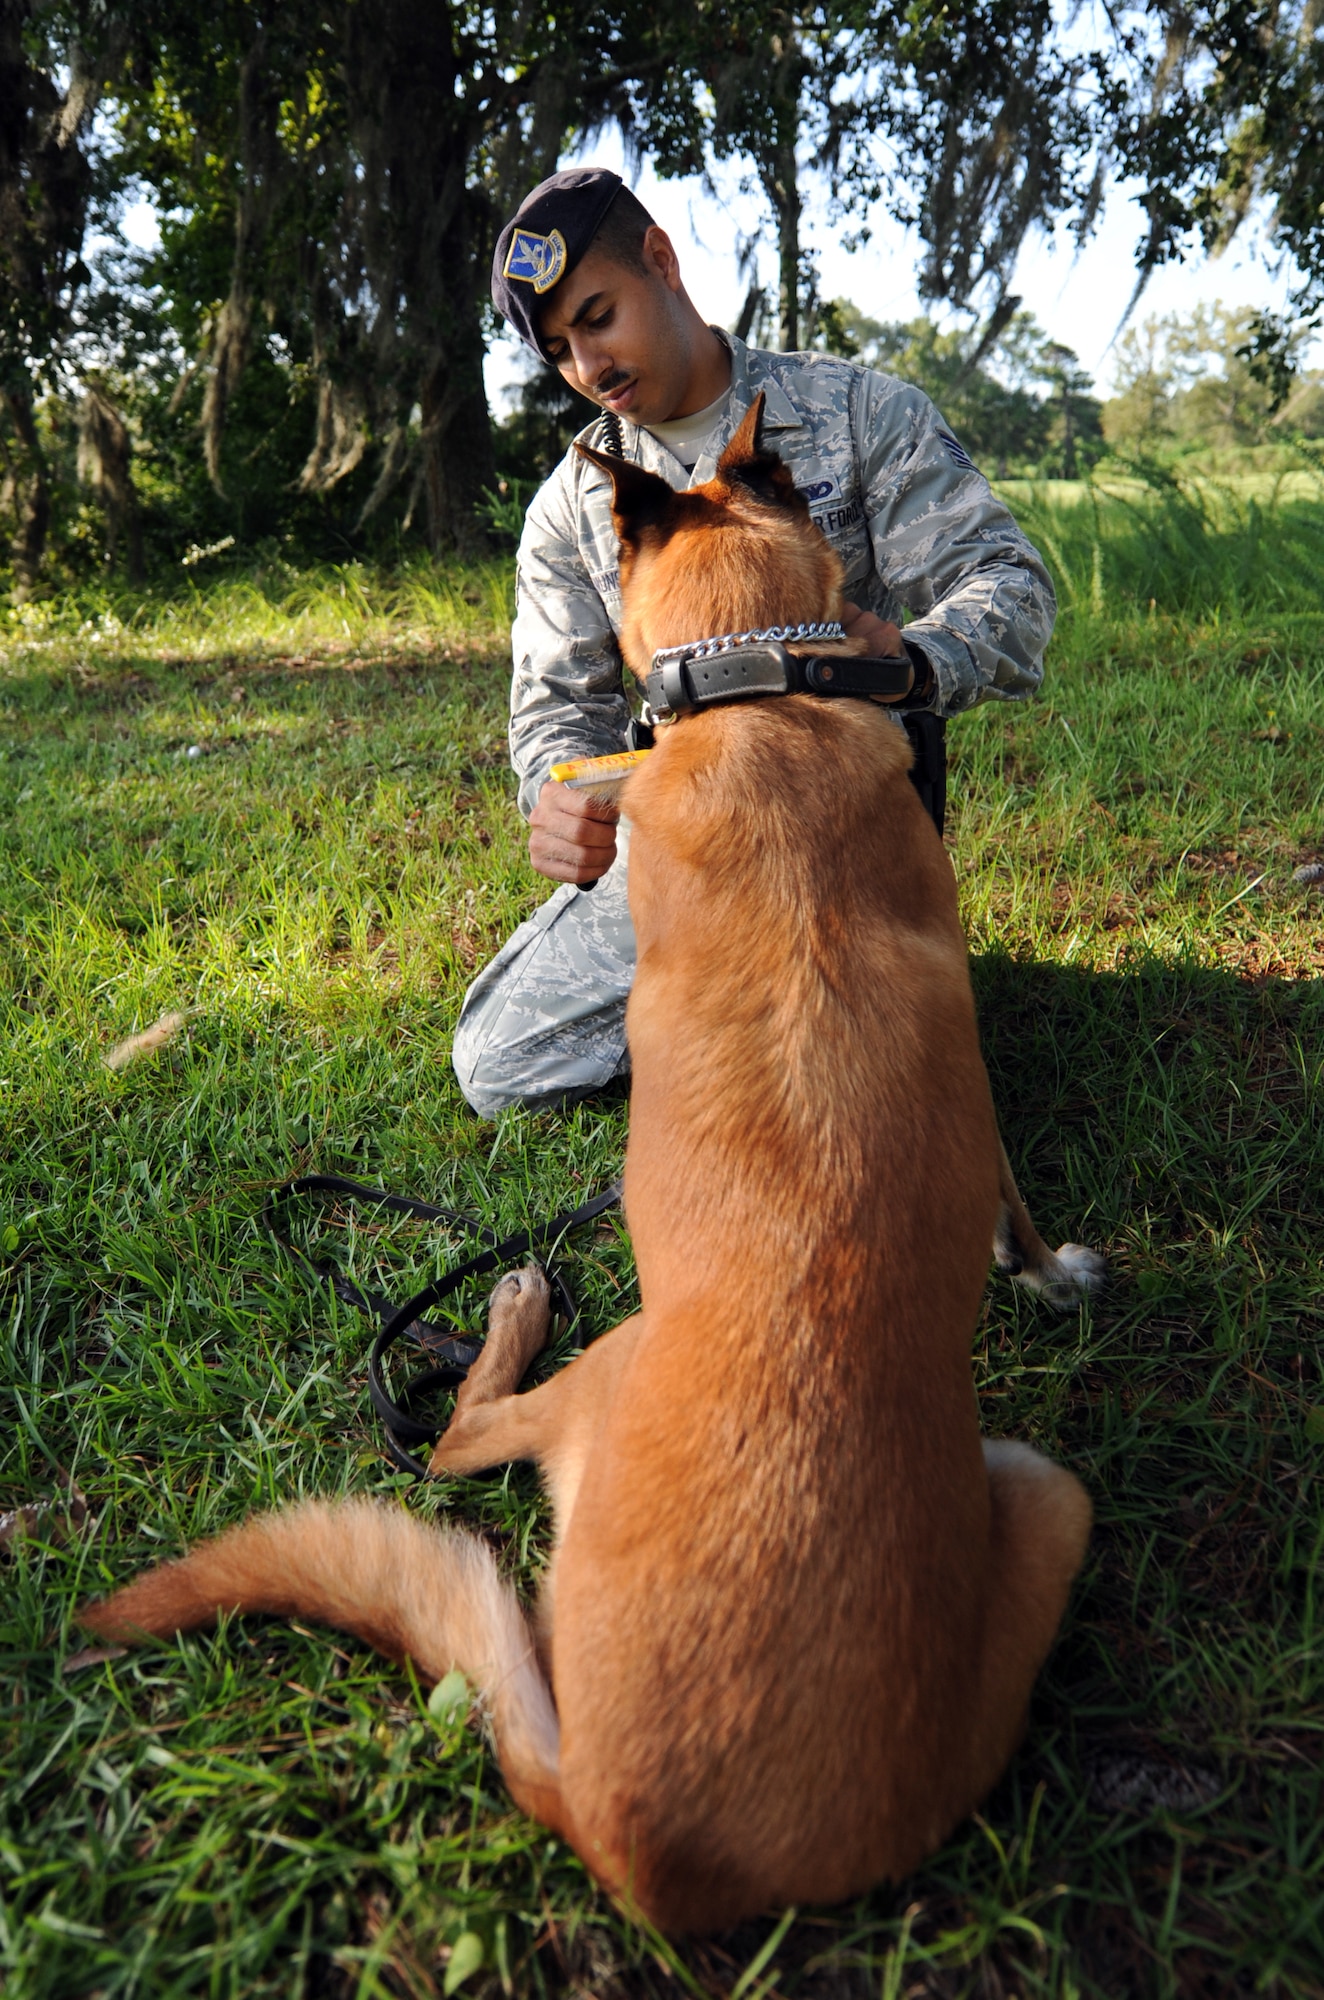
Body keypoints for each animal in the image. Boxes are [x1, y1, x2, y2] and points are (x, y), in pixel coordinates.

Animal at [85, 394, 1096, 1936]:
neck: (760, 700)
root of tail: (643, 1838)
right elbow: (1013, 1196)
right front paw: (1045, 1269)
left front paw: (1047, 1271)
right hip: (1029, 1486)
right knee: (455, 1441)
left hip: (1019, 1482)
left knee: (454, 1436)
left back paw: (506, 1307)